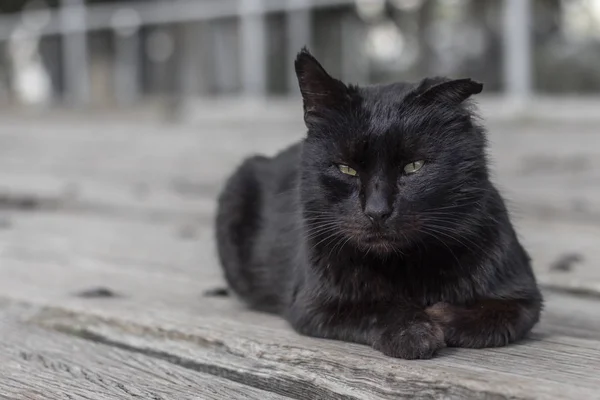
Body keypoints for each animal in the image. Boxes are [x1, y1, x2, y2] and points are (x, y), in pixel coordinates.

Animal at [217, 47, 544, 360]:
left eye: (413, 166)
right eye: (346, 169)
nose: (377, 211)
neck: (404, 266)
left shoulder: (523, 297)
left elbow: (495, 316)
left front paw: (439, 316)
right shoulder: (314, 304)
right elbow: (376, 307)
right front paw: (413, 331)